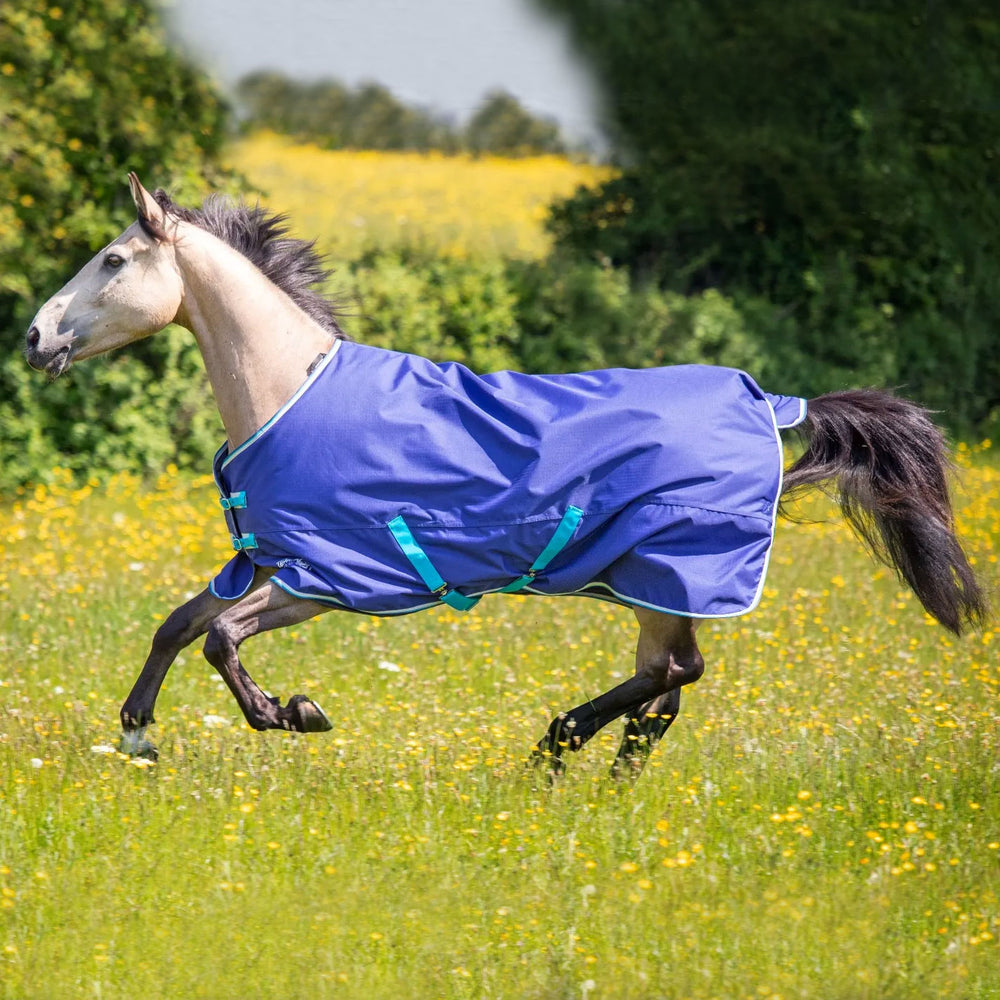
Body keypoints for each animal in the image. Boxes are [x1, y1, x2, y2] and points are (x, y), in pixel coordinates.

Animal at [23, 176, 984, 776]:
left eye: (113, 260)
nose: (34, 338)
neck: (289, 389)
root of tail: (774, 405)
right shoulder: (264, 559)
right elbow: (177, 624)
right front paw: (138, 737)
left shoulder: (328, 579)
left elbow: (221, 639)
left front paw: (293, 713)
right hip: (656, 587)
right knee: (671, 685)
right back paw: (592, 774)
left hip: (664, 575)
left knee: (674, 676)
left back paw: (554, 748)